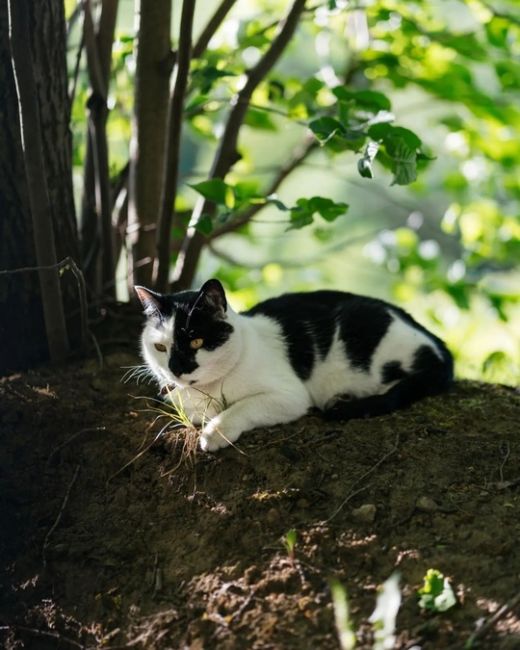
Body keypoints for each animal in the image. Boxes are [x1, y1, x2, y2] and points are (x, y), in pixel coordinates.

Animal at [136, 278, 452, 450]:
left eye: (196, 342)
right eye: (161, 347)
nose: (176, 369)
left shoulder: (290, 396)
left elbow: (242, 406)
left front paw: (215, 432)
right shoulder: (175, 396)